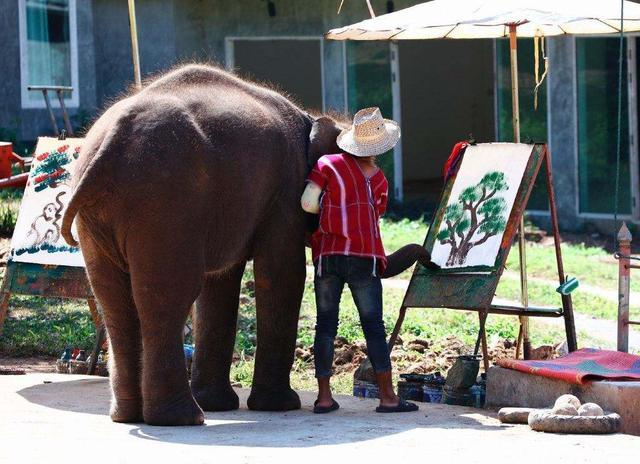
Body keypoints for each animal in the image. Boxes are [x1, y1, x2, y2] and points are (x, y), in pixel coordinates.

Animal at [60, 63, 348, 426]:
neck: (311, 119)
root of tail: (111, 140)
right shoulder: (286, 190)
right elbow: (281, 274)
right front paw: (281, 406)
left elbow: (220, 283)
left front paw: (219, 404)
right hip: (166, 201)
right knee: (169, 296)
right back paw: (184, 418)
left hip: (101, 214)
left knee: (114, 300)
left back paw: (129, 416)